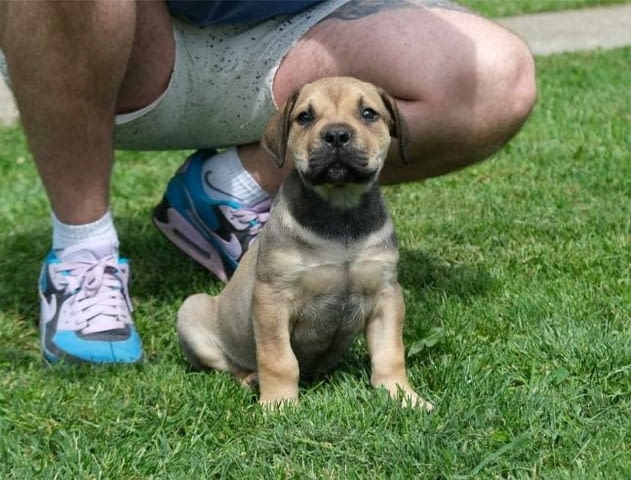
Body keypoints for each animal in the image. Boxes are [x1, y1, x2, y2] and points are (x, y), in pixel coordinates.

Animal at [178, 77, 434, 410]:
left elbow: (390, 353)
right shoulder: (272, 298)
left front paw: (403, 396)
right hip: (191, 310)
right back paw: (252, 378)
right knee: (229, 365)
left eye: (368, 113)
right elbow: (279, 359)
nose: (336, 135)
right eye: (305, 117)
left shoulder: (386, 294)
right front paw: (278, 405)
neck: (340, 210)